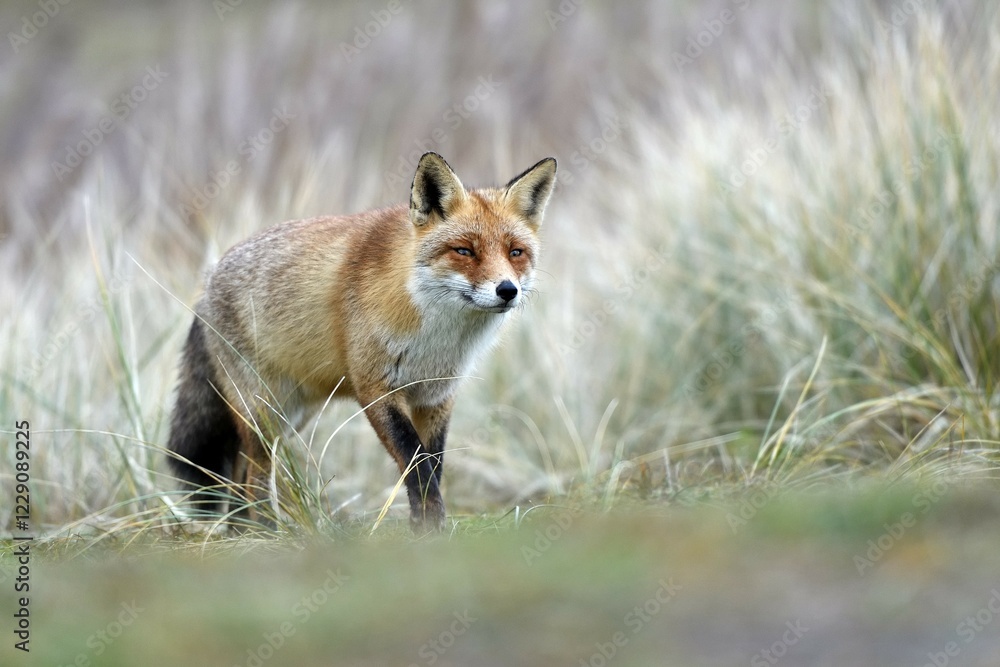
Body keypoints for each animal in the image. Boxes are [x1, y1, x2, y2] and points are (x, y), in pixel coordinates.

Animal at [167, 152, 556, 532]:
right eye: (464, 251)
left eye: (515, 252)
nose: (507, 290)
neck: (436, 338)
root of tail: (207, 283)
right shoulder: (376, 388)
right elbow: (416, 464)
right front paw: (430, 528)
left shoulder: (436, 395)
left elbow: (432, 465)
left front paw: (426, 527)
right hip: (264, 411)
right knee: (255, 475)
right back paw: (264, 530)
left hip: (291, 415)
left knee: (240, 474)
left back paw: (241, 530)